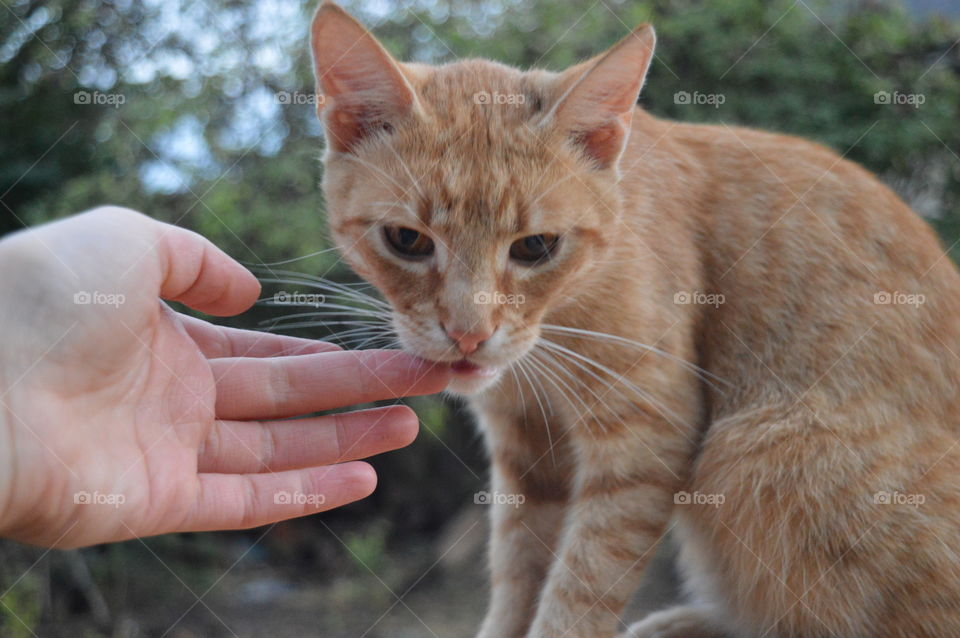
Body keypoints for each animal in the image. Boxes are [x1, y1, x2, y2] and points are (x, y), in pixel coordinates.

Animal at [312, 2, 960, 636]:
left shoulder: (645, 435)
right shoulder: (528, 455)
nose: (469, 334)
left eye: (536, 247)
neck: (559, 322)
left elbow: (580, 588)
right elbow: (519, 574)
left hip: (756, 452)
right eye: (407, 240)